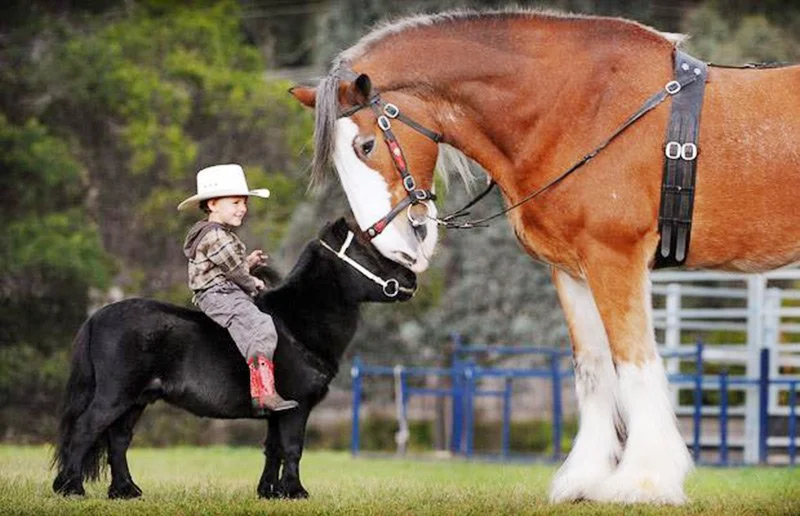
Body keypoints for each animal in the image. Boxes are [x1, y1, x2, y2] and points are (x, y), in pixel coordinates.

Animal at [52, 217, 416, 500]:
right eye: (367, 252)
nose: (411, 280)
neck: (296, 323)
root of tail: (97, 317)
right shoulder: (297, 406)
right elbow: (293, 447)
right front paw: (296, 491)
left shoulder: (278, 411)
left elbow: (273, 449)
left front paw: (270, 492)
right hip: (116, 395)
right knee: (85, 430)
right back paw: (72, 488)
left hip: (136, 399)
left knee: (118, 439)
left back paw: (125, 491)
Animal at [290, 9, 800, 504]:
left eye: (366, 145)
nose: (394, 244)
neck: (579, 108)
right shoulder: (572, 272)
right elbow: (593, 371)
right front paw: (587, 480)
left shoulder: (615, 259)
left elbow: (635, 362)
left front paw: (644, 482)